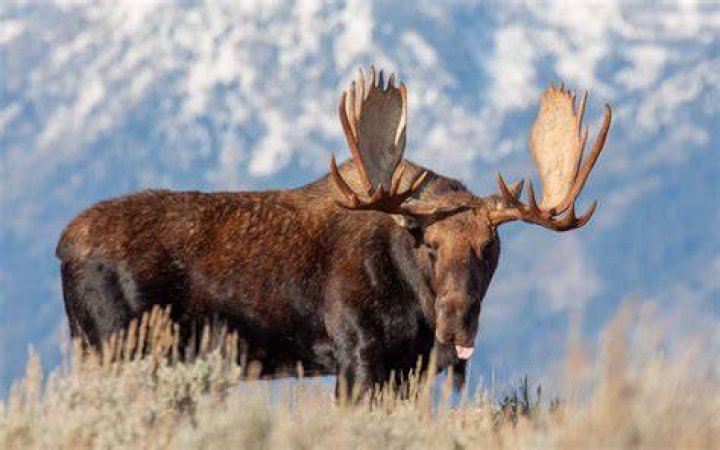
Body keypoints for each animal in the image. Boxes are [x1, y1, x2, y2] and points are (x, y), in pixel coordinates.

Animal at [56, 66, 611, 397]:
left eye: (490, 247)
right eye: (430, 246)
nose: (457, 324)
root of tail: (63, 245)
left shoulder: (407, 369)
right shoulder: (357, 356)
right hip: (116, 347)